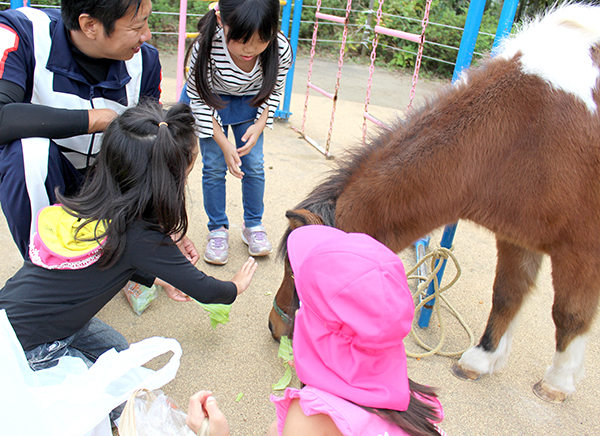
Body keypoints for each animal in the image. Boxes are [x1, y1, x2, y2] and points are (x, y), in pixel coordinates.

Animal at [270, 3, 600, 404]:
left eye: (298, 273)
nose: (274, 327)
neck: (526, 129)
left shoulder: (581, 249)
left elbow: (569, 314)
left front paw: (558, 383)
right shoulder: (518, 236)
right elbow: (507, 294)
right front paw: (481, 359)